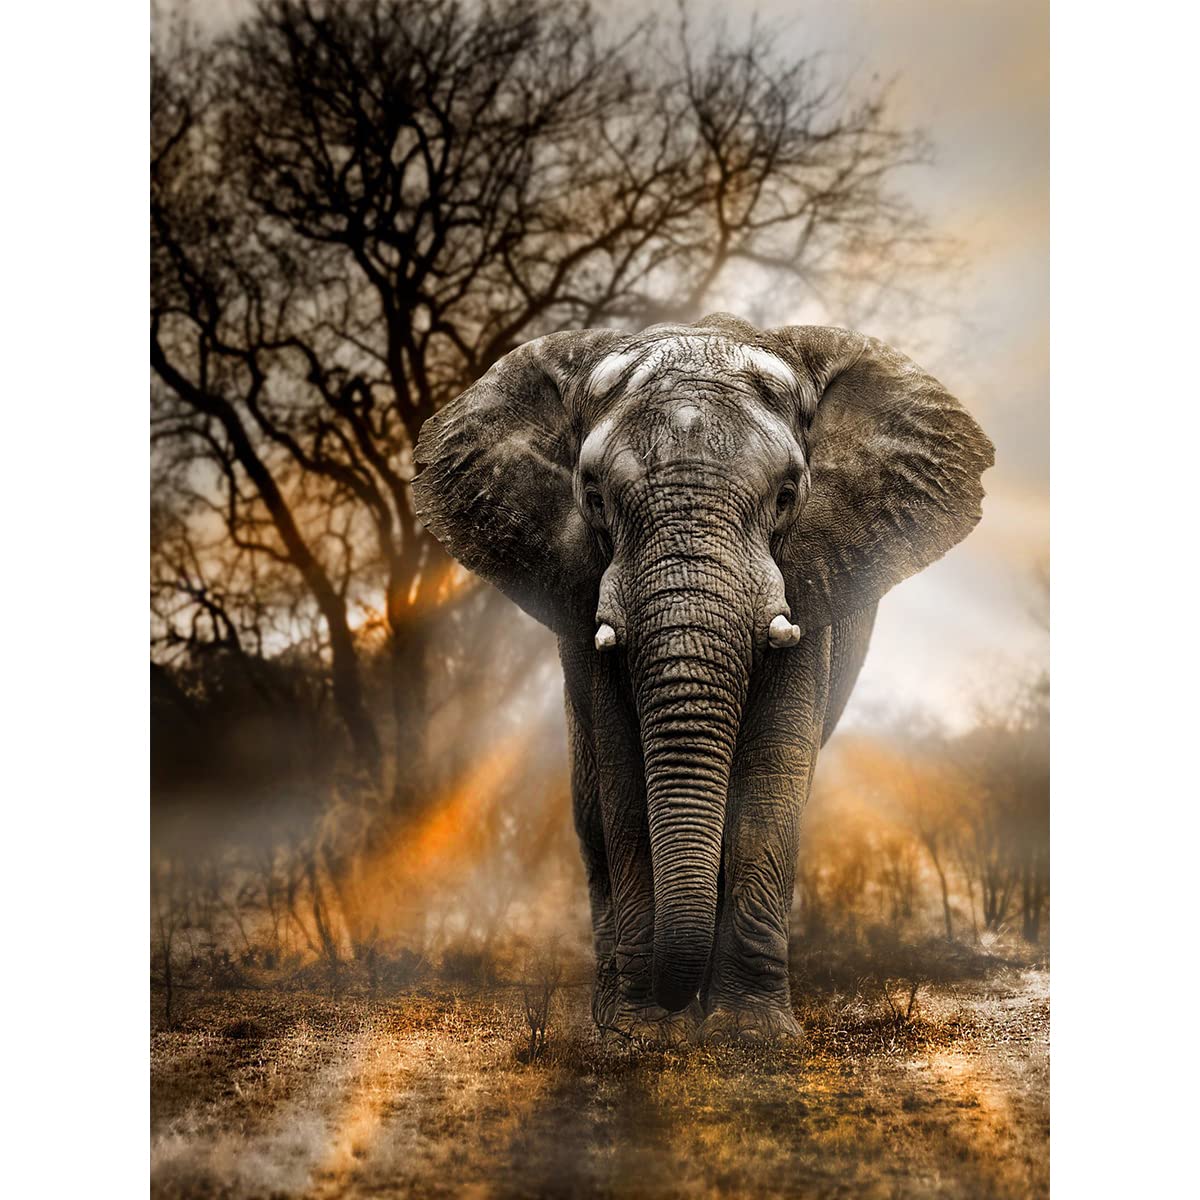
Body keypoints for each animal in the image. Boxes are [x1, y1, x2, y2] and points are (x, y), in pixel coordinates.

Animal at [413, 312, 993, 1045]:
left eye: (787, 496)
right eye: (592, 497)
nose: (671, 1005)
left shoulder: (808, 584)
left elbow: (771, 775)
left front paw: (751, 1038)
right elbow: (624, 778)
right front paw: (642, 1037)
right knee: (589, 813)